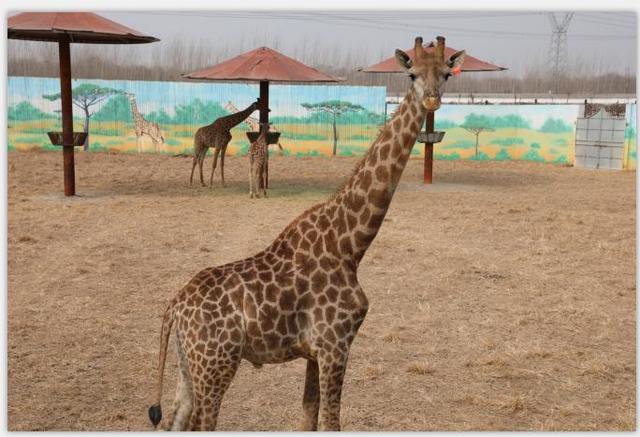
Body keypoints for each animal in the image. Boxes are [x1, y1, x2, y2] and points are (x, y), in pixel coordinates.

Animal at [149, 36, 464, 430]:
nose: (432, 99)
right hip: (216, 364)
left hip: (187, 364)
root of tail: (174, 308)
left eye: (447, 73)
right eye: (411, 74)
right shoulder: (335, 344)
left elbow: (308, 415)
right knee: (202, 423)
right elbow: (331, 421)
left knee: (174, 417)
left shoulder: (315, 352)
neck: (350, 244)